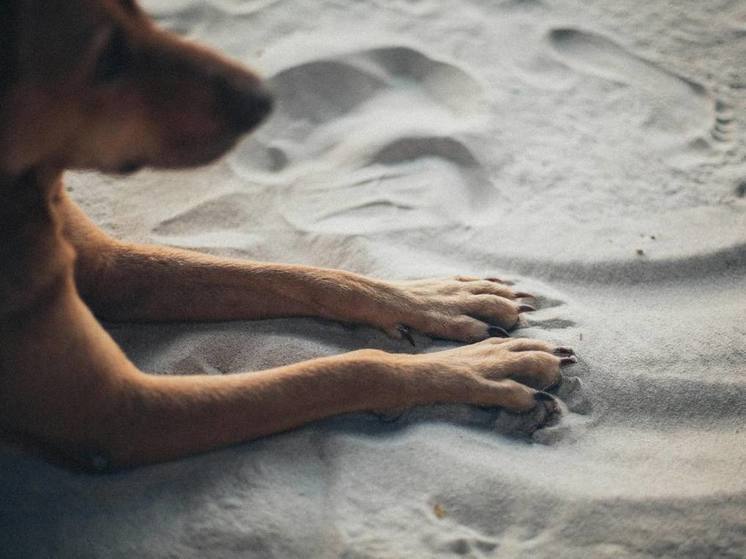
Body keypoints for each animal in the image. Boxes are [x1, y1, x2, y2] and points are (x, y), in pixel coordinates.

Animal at [0, 0, 576, 472]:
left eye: (144, 13)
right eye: (107, 59)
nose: (263, 99)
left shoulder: (109, 268)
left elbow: (301, 274)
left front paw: (433, 299)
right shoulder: (122, 411)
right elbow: (348, 369)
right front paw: (485, 368)